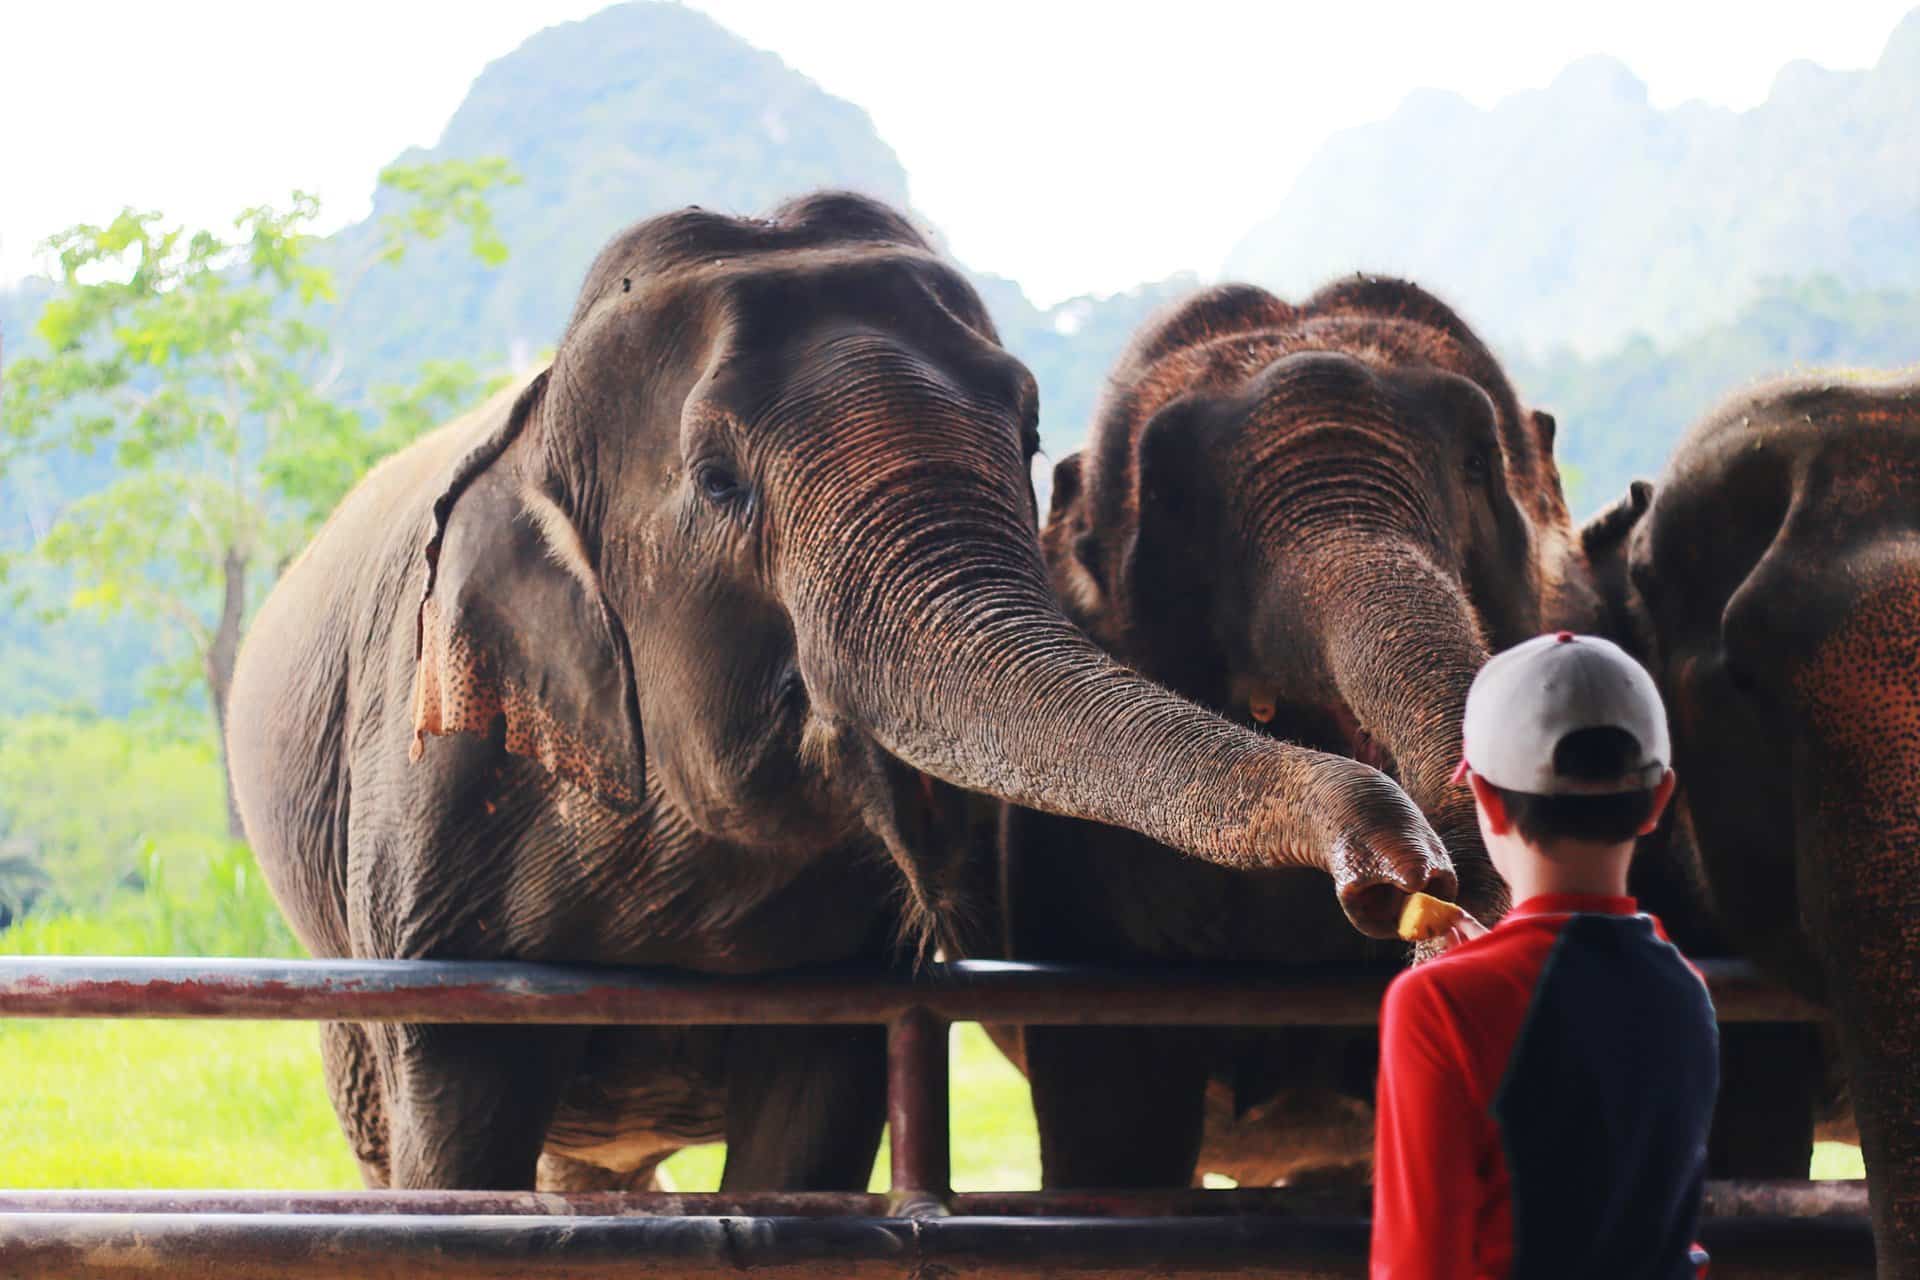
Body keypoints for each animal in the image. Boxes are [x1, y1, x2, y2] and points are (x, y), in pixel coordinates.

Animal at [225, 194, 1456, 1193]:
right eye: (719, 481)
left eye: (1029, 428)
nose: (1406, 867)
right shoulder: (431, 829)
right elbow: (458, 1137)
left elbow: (812, 1128)